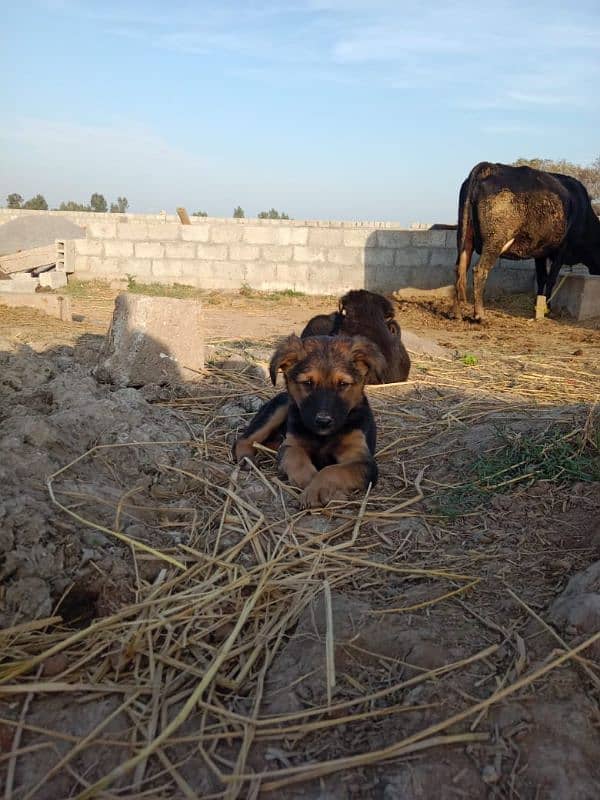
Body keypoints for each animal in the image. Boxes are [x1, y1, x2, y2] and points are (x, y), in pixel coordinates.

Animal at [232, 334, 382, 510]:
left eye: (343, 384)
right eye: (307, 383)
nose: (323, 421)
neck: (324, 437)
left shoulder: (362, 460)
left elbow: (333, 470)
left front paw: (318, 489)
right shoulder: (291, 444)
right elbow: (296, 457)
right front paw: (310, 481)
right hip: (279, 408)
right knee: (244, 439)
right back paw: (247, 459)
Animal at [454, 161, 600, 320]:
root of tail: (489, 166)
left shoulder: (541, 252)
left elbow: (542, 278)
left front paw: (539, 306)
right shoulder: (562, 248)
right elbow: (551, 279)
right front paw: (548, 309)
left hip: (464, 237)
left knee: (460, 268)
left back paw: (457, 313)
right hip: (494, 241)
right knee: (479, 270)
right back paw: (480, 314)